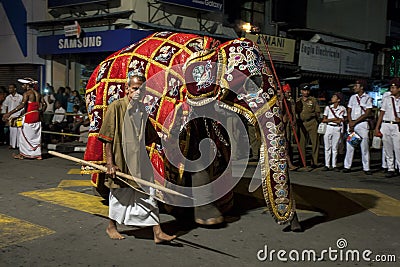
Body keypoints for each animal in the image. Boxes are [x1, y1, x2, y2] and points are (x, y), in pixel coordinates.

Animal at [83, 30, 298, 228]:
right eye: (251, 83)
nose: (293, 225)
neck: (208, 50)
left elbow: (205, 144)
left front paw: (211, 212)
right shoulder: (172, 99)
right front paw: (209, 218)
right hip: (98, 112)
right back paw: (103, 190)